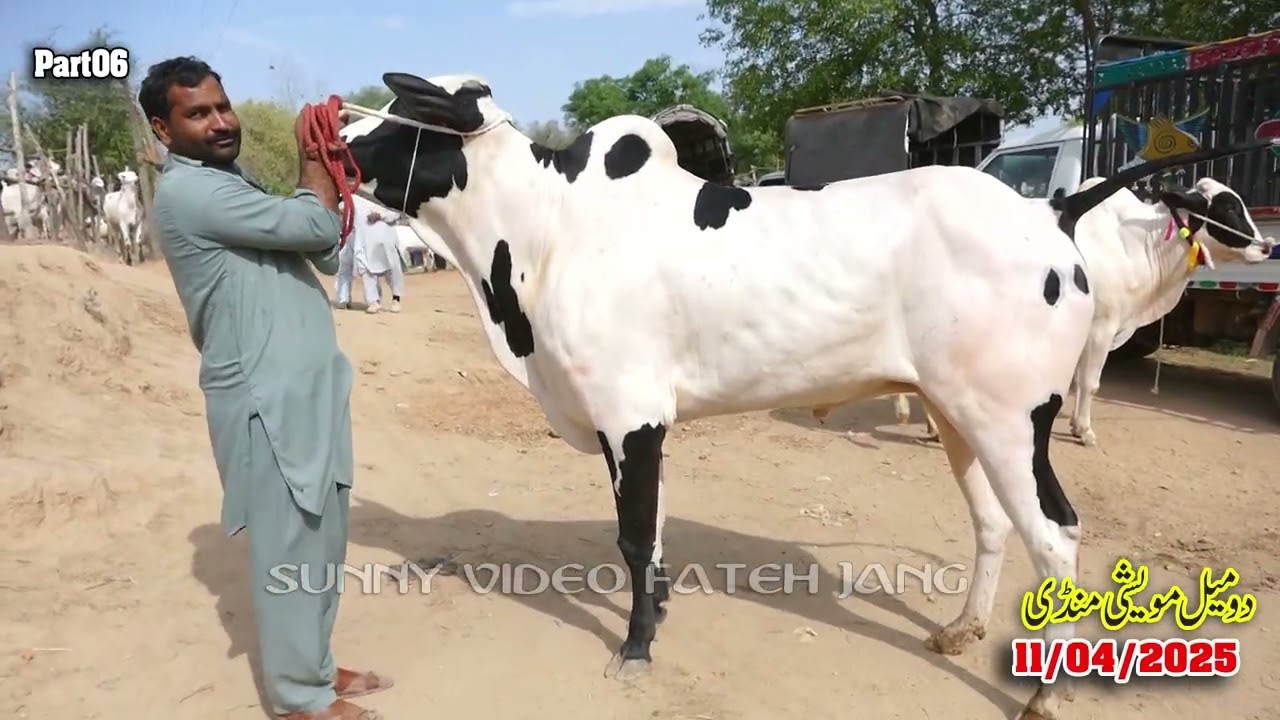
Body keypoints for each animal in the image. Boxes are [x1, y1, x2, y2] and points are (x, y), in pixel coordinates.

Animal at [333, 71, 1161, 720]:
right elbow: (653, 533)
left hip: (1012, 420)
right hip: (955, 411)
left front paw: (635, 648)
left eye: (400, 110)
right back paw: (961, 628)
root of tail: (1046, 211)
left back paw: (1044, 694)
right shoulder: (645, 423)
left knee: (1054, 536)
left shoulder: (628, 416)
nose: (335, 129)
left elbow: (633, 537)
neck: (543, 232)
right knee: (992, 521)